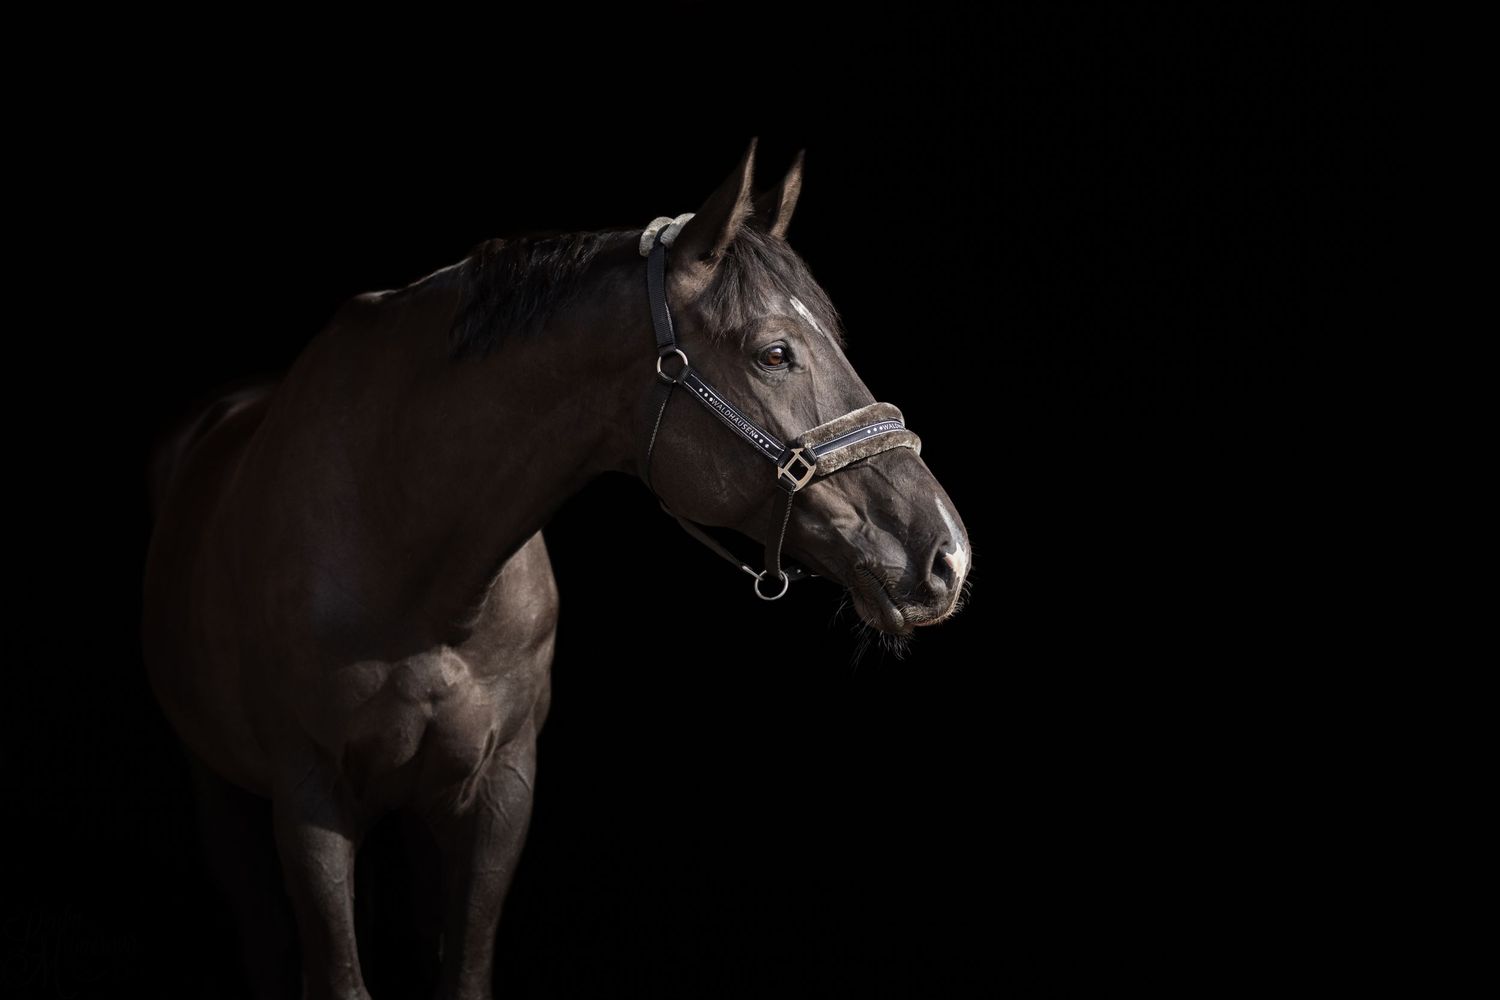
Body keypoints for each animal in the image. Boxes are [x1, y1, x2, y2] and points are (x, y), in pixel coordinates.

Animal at [142, 138, 970, 1000]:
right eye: (775, 352)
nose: (946, 554)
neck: (406, 554)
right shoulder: (310, 803)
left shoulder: (500, 794)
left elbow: (463, 970)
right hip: (223, 791)